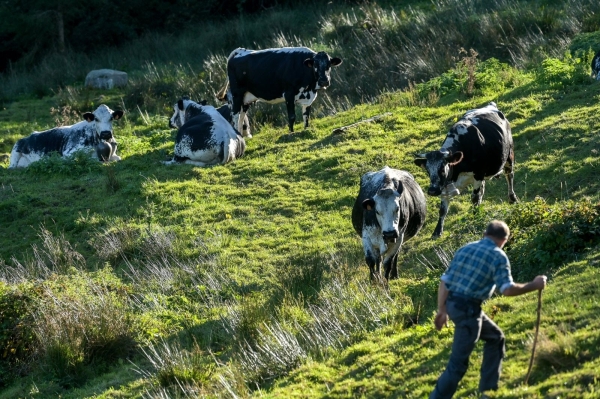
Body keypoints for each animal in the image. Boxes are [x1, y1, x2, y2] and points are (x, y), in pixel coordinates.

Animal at [414, 102, 516, 238]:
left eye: (442, 169)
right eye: (428, 171)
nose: (432, 191)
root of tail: (491, 105)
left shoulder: (478, 174)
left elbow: (474, 197)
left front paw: (474, 215)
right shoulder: (444, 185)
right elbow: (443, 209)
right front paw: (437, 231)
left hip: (509, 155)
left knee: (509, 176)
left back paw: (512, 198)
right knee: (483, 188)